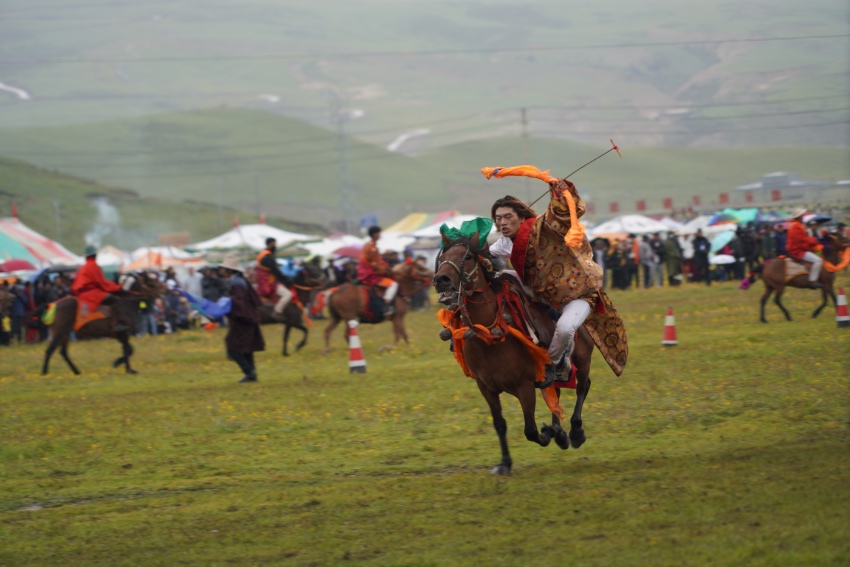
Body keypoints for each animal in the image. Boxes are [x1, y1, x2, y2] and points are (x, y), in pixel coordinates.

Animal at [434, 233, 592, 478]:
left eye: (467, 257)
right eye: (442, 258)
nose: (441, 279)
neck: (488, 336)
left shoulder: (524, 386)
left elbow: (531, 430)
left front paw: (547, 433)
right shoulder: (485, 387)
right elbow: (500, 424)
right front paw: (505, 463)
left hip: (582, 359)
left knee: (582, 387)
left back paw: (574, 432)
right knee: (556, 392)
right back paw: (560, 433)